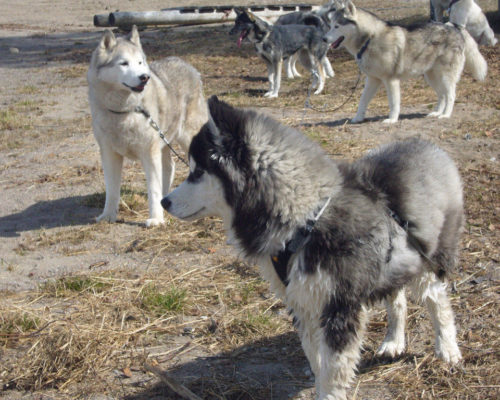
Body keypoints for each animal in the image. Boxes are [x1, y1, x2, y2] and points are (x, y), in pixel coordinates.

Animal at [87, 26, 208, 227]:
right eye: (124, 63)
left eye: (139, 62)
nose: (144, 77)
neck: (125, 111)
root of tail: (188, 66)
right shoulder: (109, 154)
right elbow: (112, 190)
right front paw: (108, 216)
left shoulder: (149, 153)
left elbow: (153, 188)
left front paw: (156, 219)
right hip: (164, 142)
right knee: (170, 167)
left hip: (186, 139)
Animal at [163, 96, 464, 396]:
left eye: (198, 172)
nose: (164, 202)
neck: (304, 219)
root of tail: (426, 146)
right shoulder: (302, 302)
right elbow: (316, 358)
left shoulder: (339, 307)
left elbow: (333, 369)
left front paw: (329, 393)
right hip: (392, 265)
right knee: (396, 297)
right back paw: (393, 340)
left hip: (429, 260)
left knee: (438, 301)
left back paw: (447, 348)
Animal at [322, 0, 486, 123]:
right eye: (330, 26)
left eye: (337, 26)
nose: (323, 39)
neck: (370, 39)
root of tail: (454, 26)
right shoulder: (373, 80)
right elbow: (363, 100)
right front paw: (357, 118)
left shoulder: (391, 80)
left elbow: (394, 103)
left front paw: (392, 120)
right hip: (432, 77)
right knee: (442, 95)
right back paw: (437, 113)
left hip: (445, 76)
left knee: (451, 95)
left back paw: (446, 115)